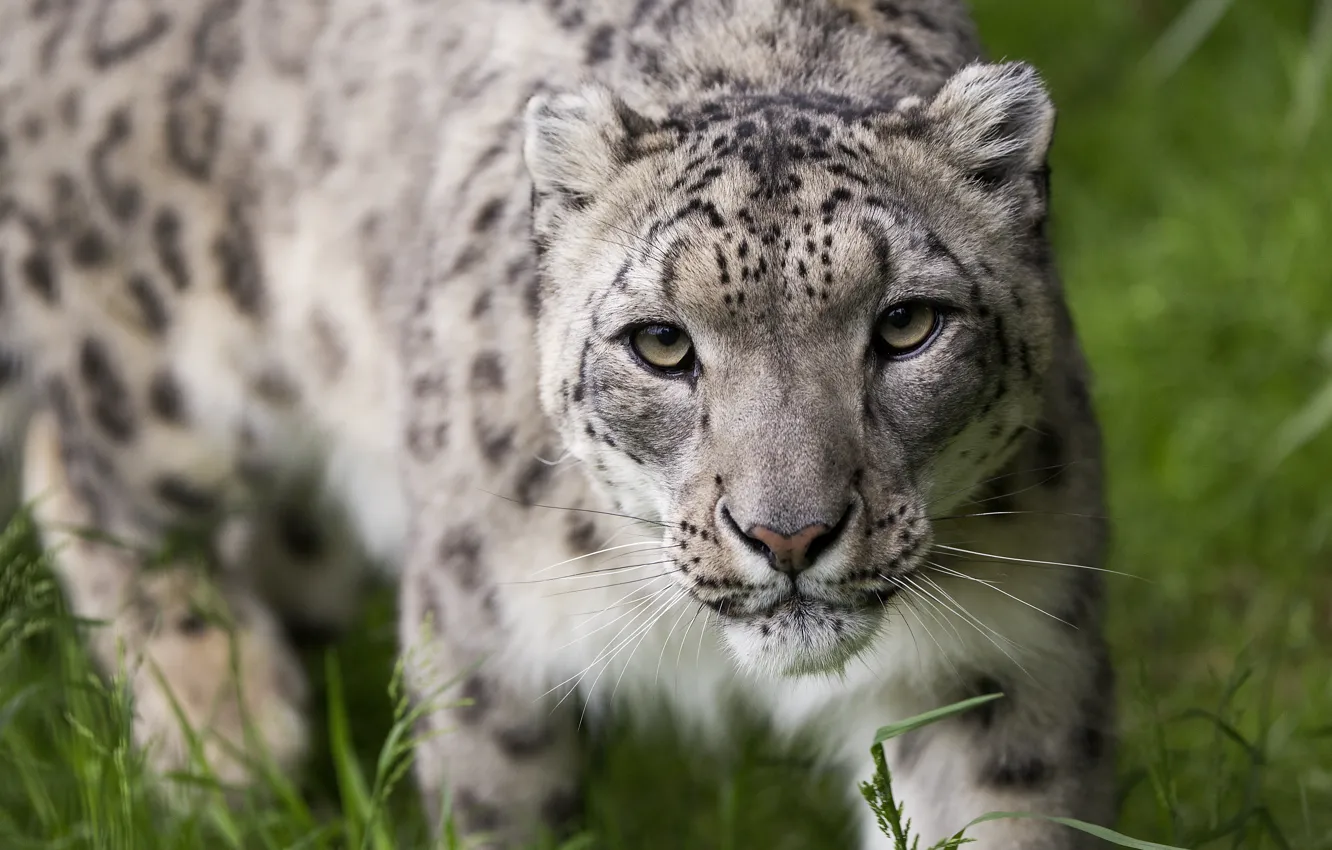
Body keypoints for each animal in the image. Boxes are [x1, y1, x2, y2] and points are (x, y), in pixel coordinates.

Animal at [0, 0, 1119, 847]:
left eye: (906, 325)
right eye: (660, 343)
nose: (789, 534)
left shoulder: (999, 661)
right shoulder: (488, 640)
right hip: (161, 362)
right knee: (84, 471)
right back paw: (229, 736)